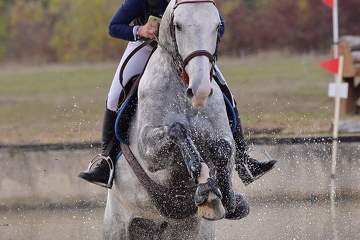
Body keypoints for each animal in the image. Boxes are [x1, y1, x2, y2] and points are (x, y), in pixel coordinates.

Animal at [102, 0, 246, 238]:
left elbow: (222, 148)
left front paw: (219, 195)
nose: (200, 91)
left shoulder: (224, 137)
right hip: (117, 226)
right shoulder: (148, 151)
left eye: (217, 26)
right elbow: (177, 129)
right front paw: (202, 178)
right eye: (178, 26)